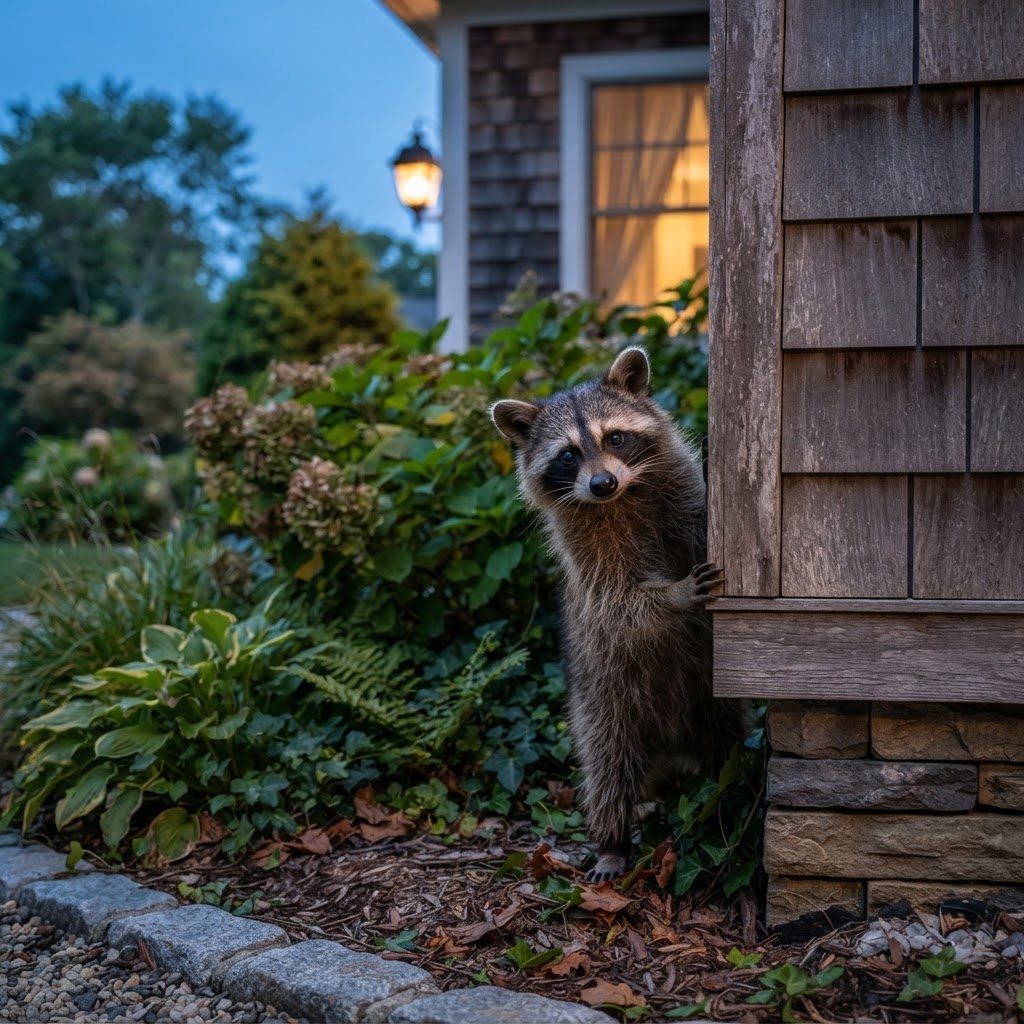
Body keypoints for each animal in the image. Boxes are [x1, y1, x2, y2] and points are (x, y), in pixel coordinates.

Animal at [491, 346, 746, 882]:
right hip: (602, 696)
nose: (602, 482)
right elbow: (619, 605)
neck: (623, 499)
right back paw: (612, 839)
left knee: (727, 741)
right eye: (568, 454)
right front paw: (672, 595)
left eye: (615, 437)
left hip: (709, 704)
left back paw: (729, 792)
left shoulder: (682, 499)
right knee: (607, 764)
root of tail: (670, 747)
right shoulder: (589, 561)